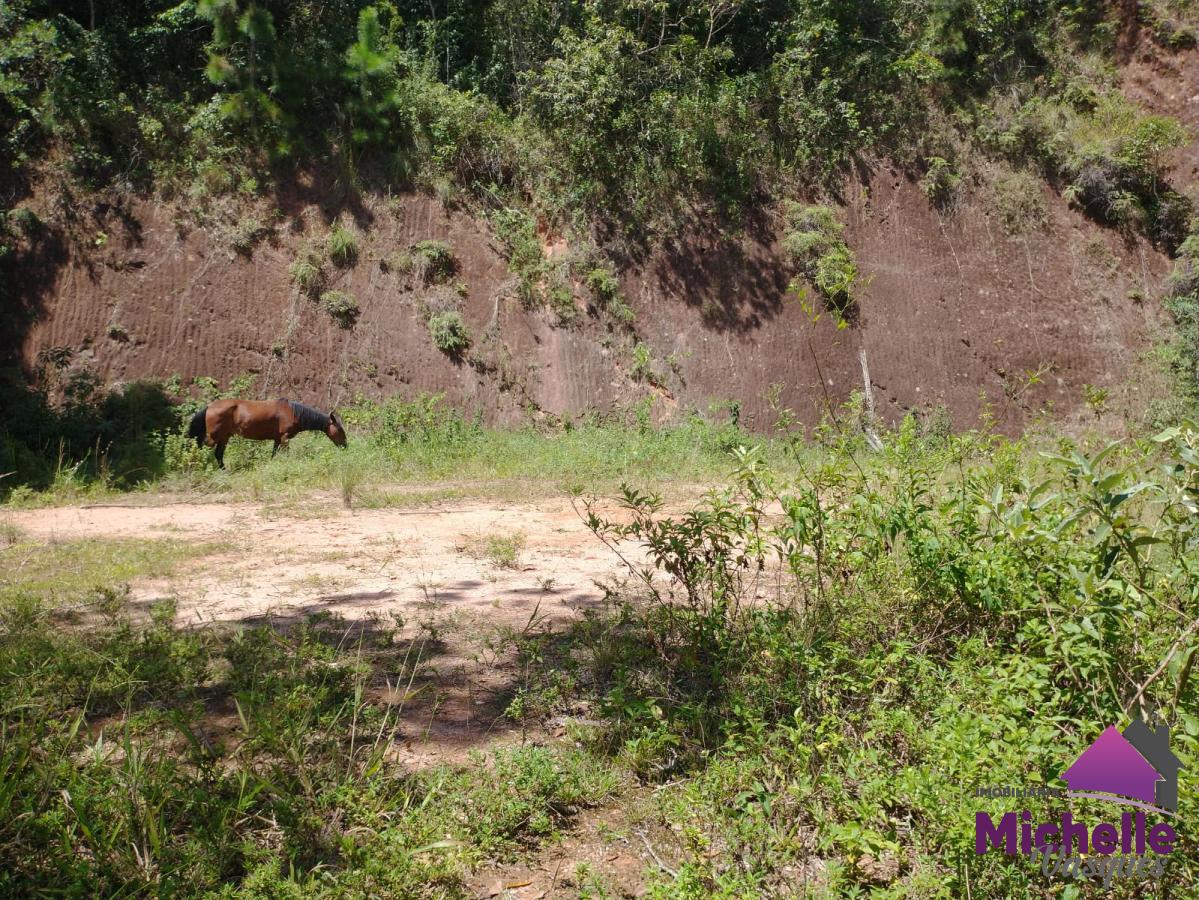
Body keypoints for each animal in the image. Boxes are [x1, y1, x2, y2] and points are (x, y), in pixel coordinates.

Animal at [187, 402, 347, 472]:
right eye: (340, 429)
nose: (345, 445)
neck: (293, 412)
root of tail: (209, 407)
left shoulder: (277, 439)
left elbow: (273, 455)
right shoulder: (284, 438)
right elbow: (286, 454)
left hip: (224, 437)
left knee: (218, 455)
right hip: (213, 438)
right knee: (200, 449)